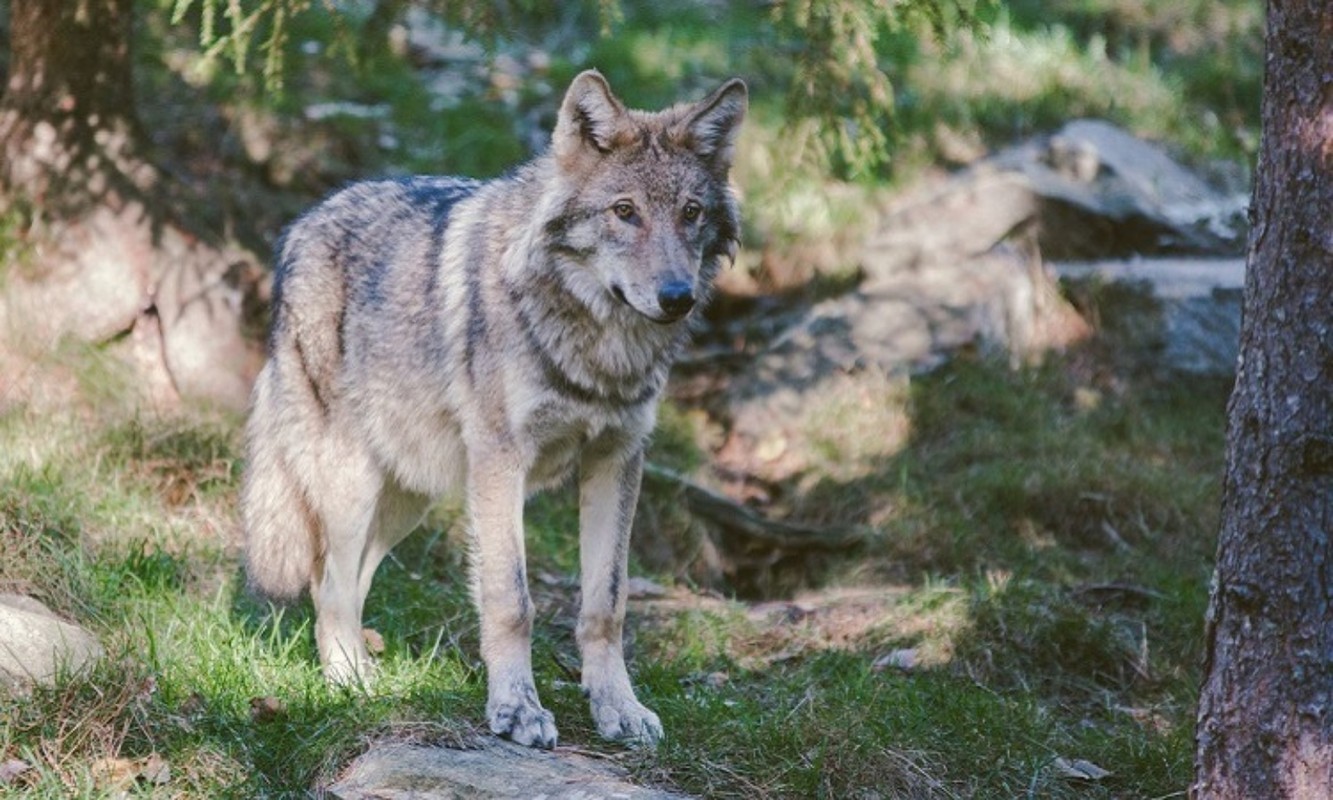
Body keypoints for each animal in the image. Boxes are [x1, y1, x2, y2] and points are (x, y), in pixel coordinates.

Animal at [237, 70, 741, 752]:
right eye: (624, 211)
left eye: (691, 213)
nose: (677, 297)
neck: (599, 347)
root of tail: (300, 227)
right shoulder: (504, 463)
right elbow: (511, 601)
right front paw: (516, 710)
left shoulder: (617, 460)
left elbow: (606, 605)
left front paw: (619, 708)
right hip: (353, 484)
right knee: (331, 585)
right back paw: (351, 684)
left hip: (410, 498)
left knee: (338, 581)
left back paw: (369, 674)